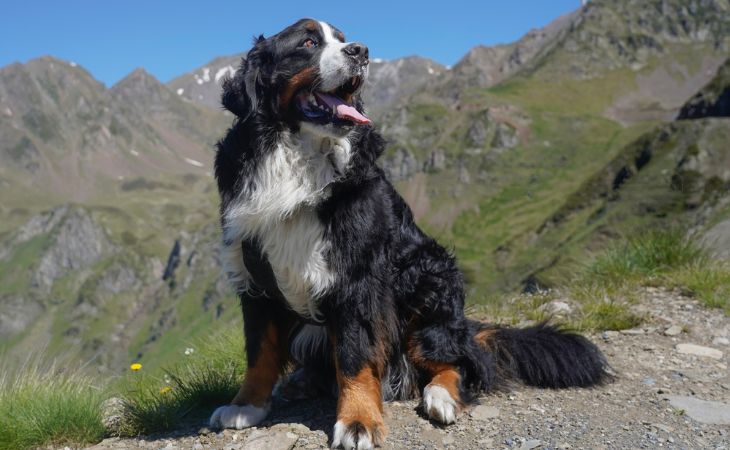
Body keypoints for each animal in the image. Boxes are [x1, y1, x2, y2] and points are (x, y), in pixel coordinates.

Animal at [208, 19, 604, 450]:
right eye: (309, 42)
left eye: (342, 39)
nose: (361, 51)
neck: (297, 154)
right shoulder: (254, 274)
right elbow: (260, 351)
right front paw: (246, 405)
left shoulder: (358, 278)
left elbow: (355, 355)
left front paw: (358, 421)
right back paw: (302, 381)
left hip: (426, 278)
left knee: (455, 360)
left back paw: (440, 395)